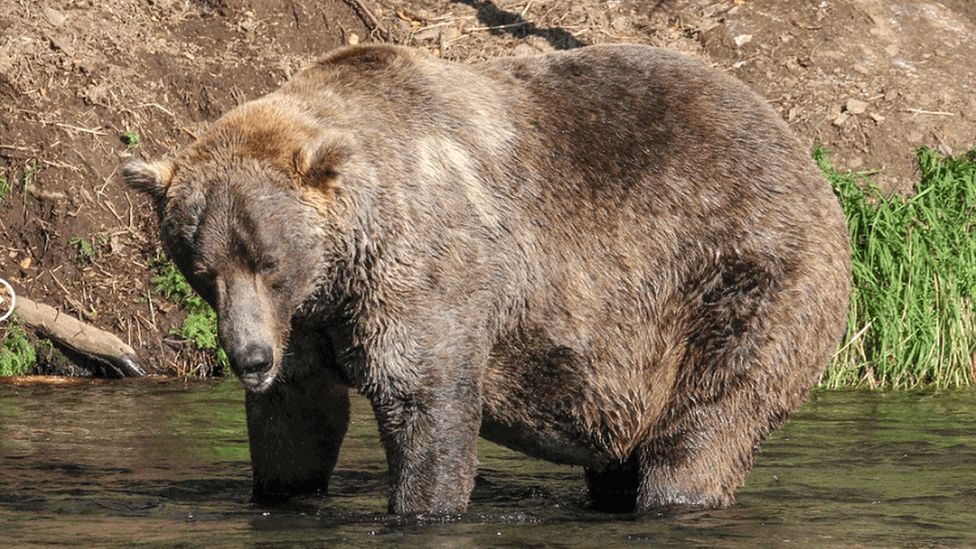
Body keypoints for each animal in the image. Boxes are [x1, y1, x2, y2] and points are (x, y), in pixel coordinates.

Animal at [126, 42, 852, 512]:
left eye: (269, 261)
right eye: (204, 268)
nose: (249, 358)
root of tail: (804, 154)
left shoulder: (425, 268)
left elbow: (425, 398)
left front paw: (422, 505)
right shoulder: (308, 322)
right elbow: (297, 419)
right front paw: (282, 488)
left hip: (739, 276)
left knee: (708, 420)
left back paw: (677, 494)